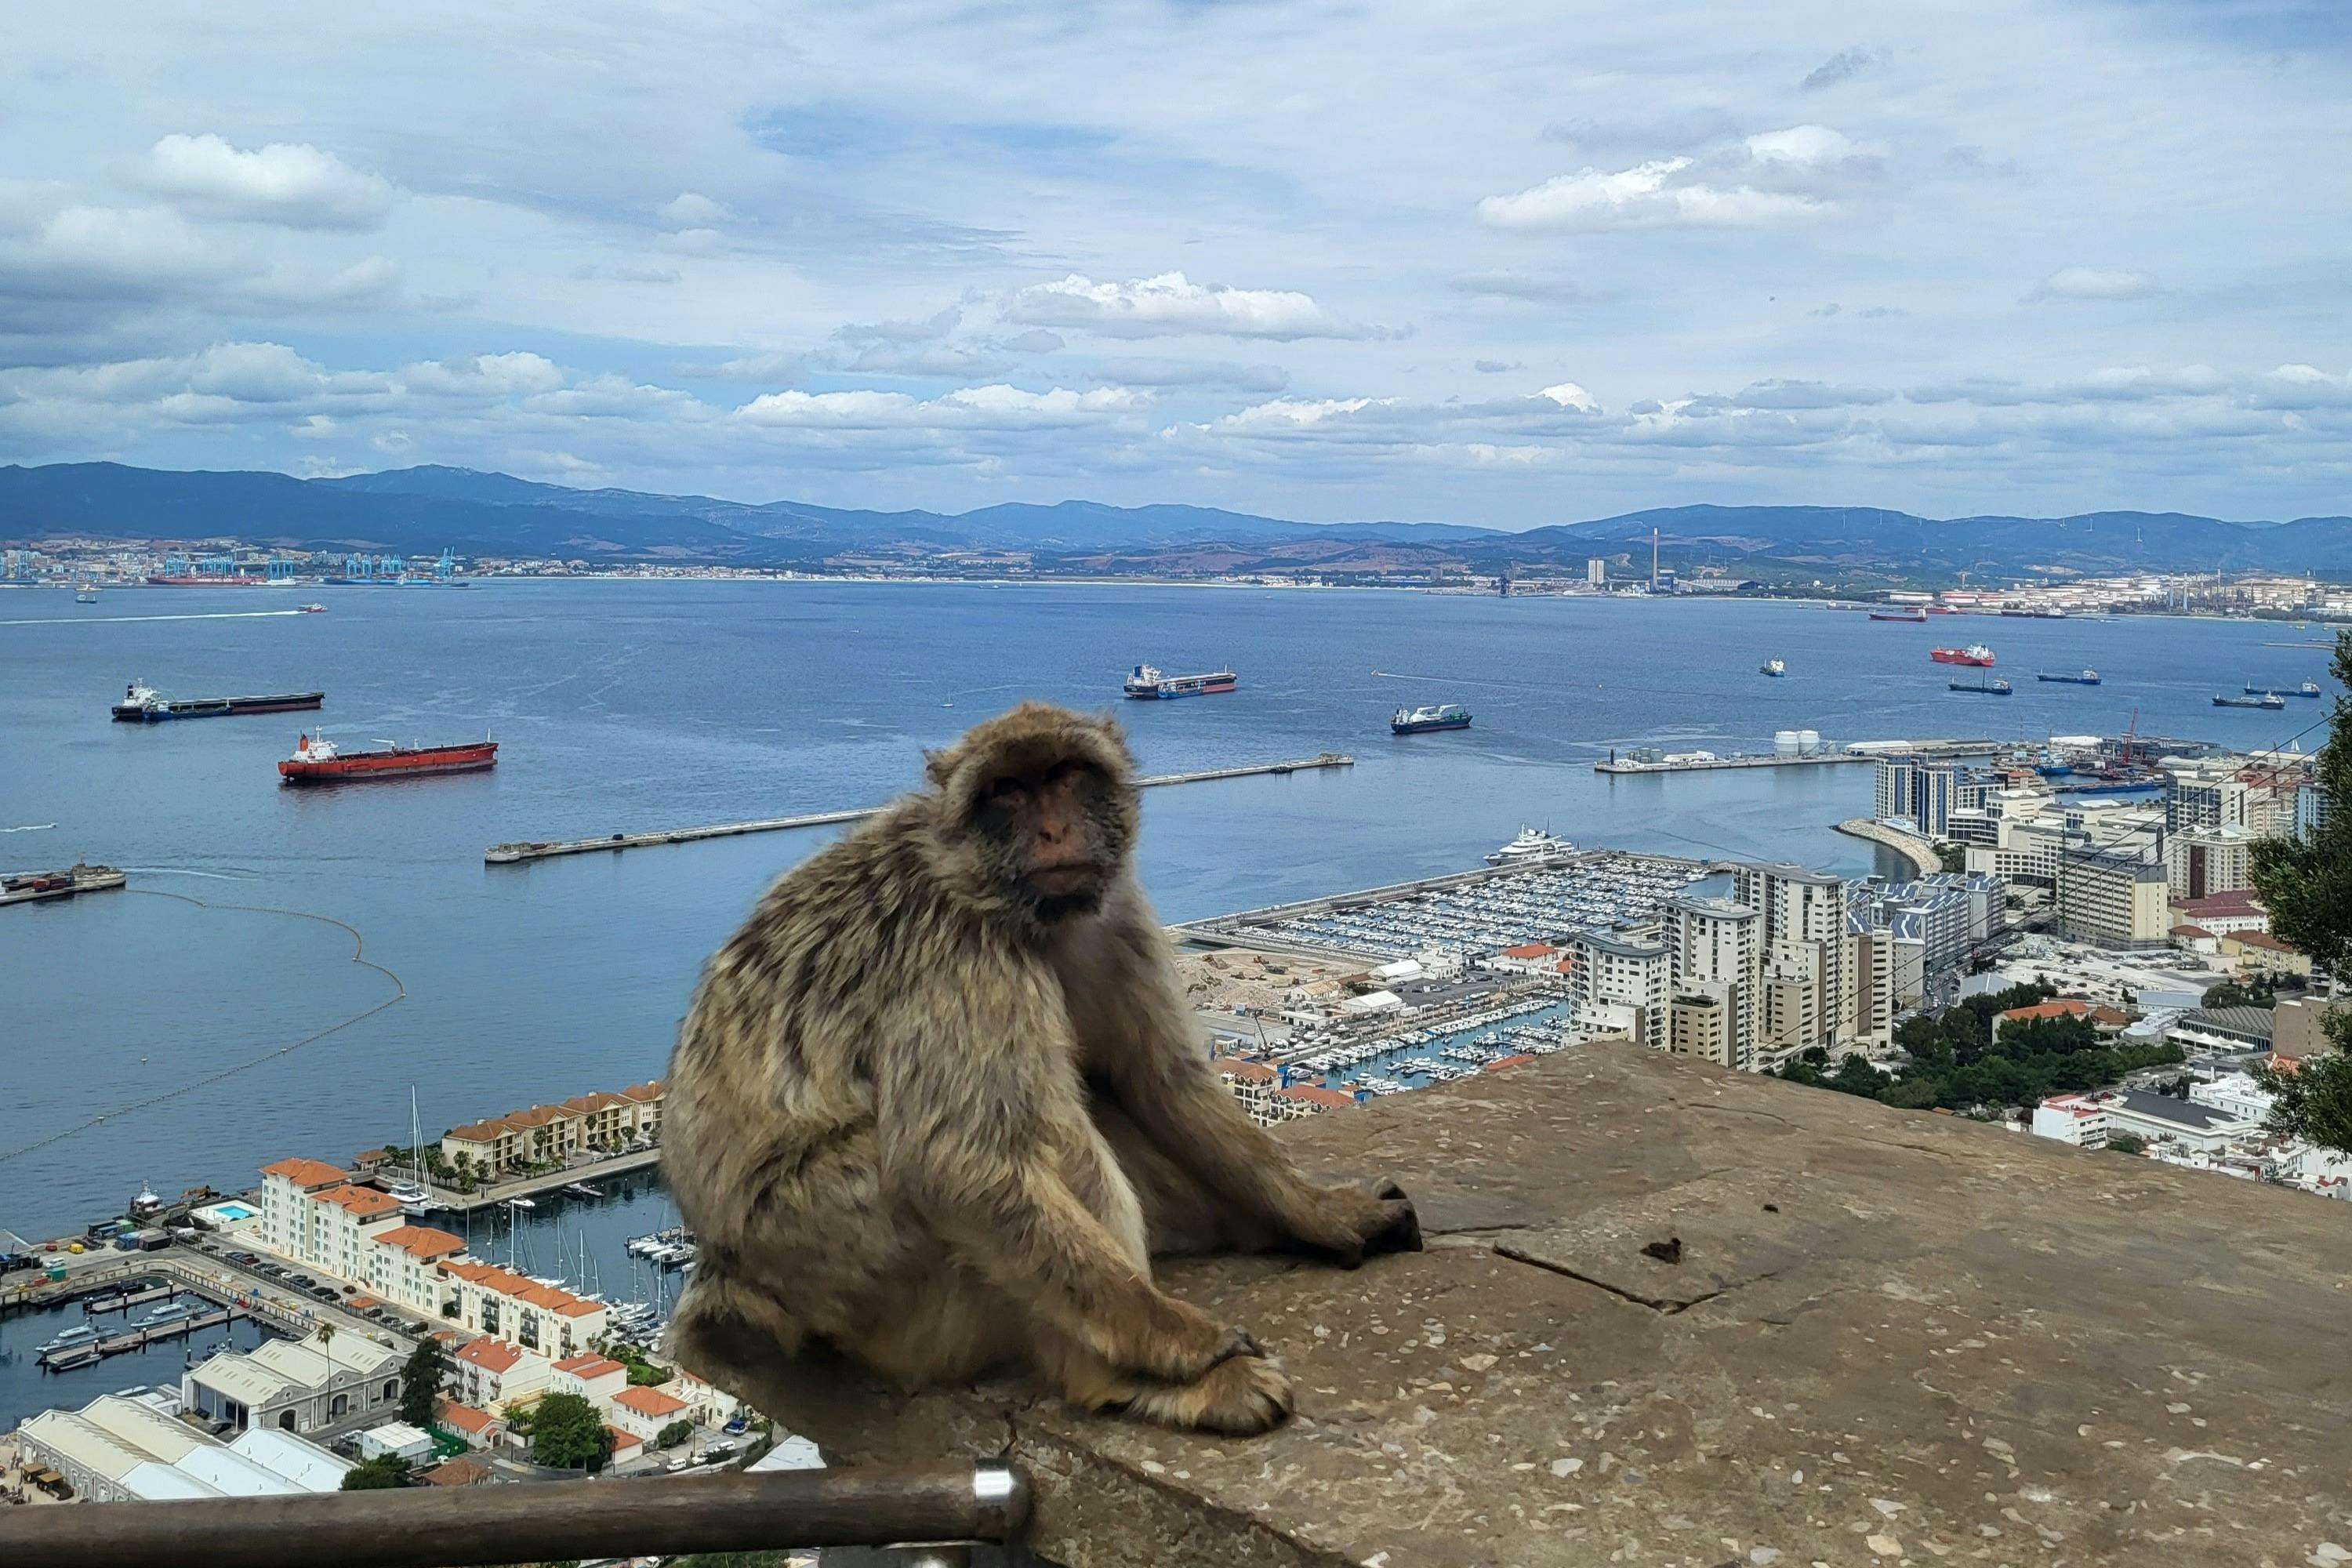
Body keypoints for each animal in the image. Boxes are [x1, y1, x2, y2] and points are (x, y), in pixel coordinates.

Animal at [661, 700, 1420, 1435]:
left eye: (1063, 776)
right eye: (1007, 791)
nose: (1053, 830)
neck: (1016, 905)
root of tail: (727, 1275)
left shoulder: (1118, 919)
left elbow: (1163, 1080)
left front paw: (1322, 1214)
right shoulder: (961, 952)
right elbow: (957, 1162)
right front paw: (1179, 1343)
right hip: (835, 1252)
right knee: (1037, 1129)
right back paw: (1129, 1380)